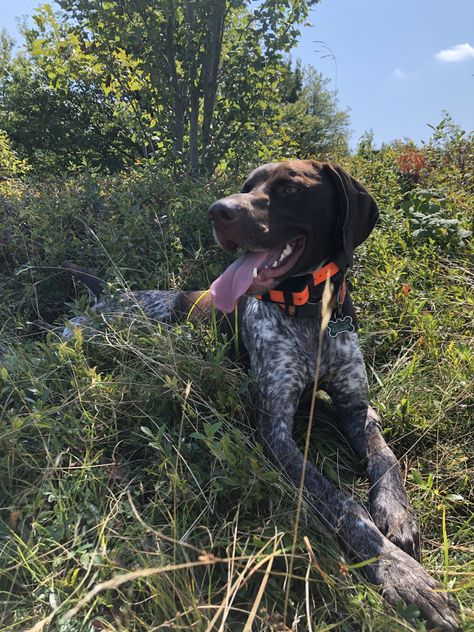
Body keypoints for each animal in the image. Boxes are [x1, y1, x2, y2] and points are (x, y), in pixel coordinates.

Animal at [62, 162, 460, 628]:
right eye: (247, 187)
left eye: (289, 188)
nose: (217, 211)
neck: (310, 313)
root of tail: (107, 296)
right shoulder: (275, 431)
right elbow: (343, 503)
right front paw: (402, 572)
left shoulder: (356, 407)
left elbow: (386, 458)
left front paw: (397, 514)